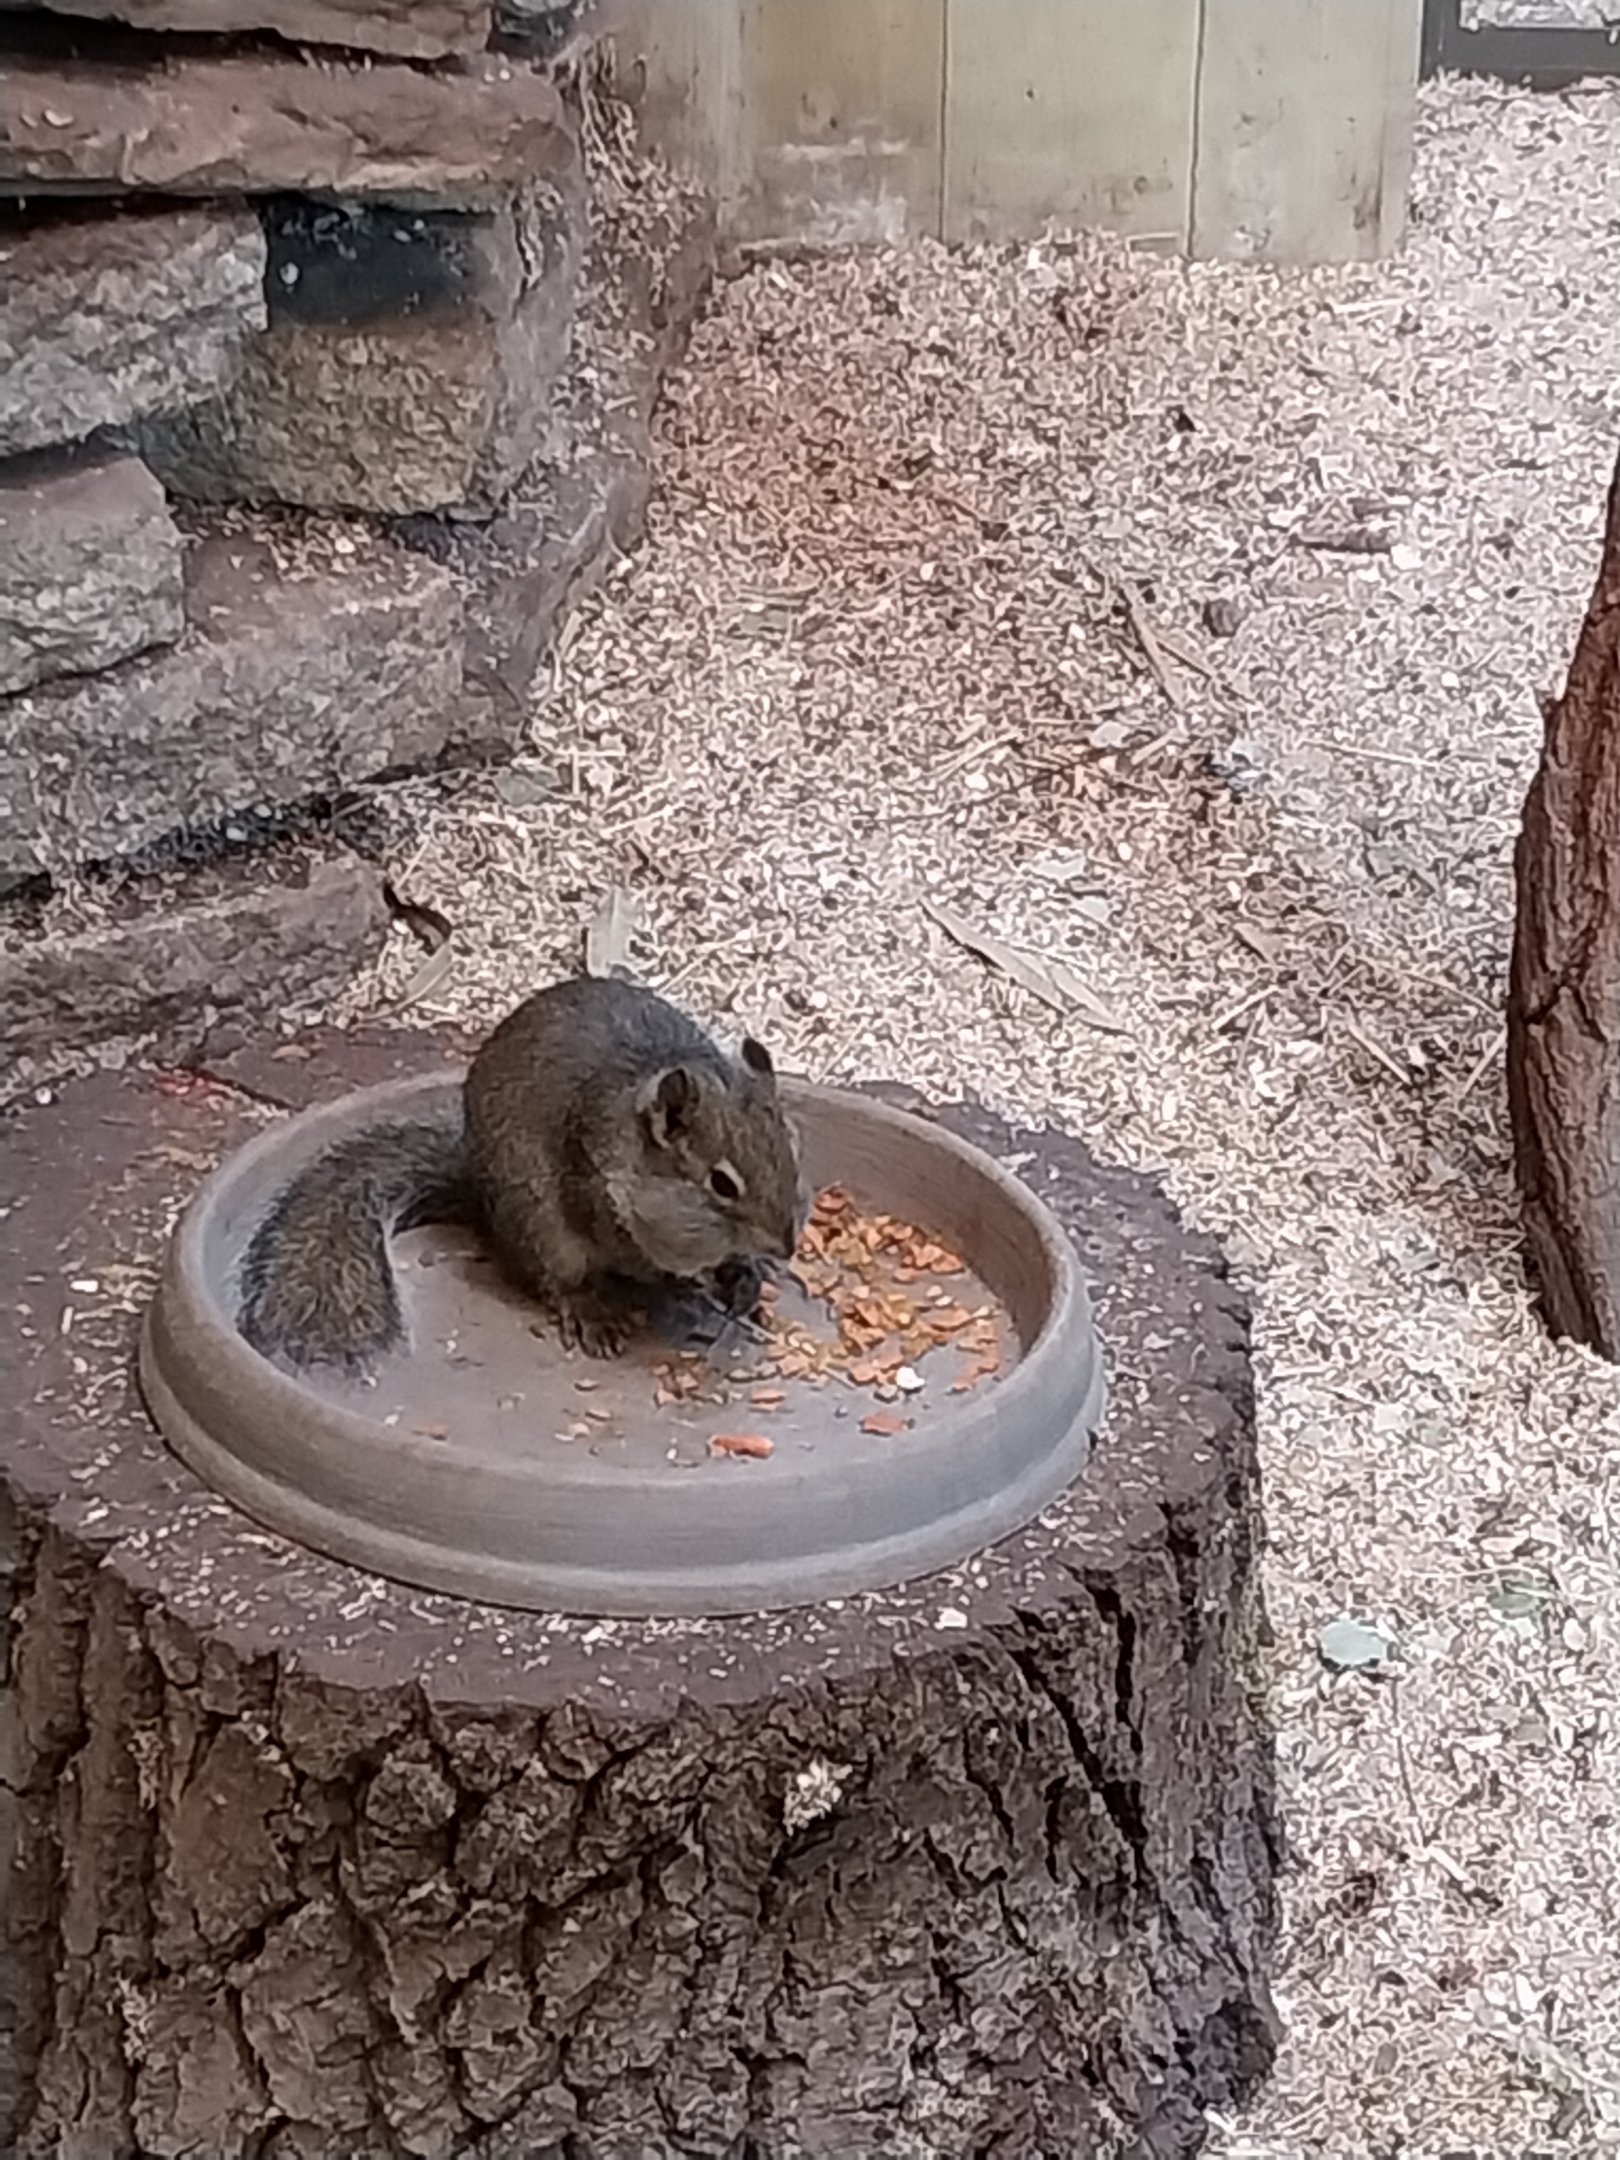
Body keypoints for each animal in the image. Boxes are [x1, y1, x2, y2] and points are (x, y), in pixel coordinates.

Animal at [237, 975, 808, 1373]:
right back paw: (591, 1311)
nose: (785, 1245)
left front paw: (749, 1275)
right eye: (722, 1183)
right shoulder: (594, 1197)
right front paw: (695, 1289)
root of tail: (477, 1189)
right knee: (550, 1280)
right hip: (539, 1226)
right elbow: (648, 1265)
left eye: (792, 1151)